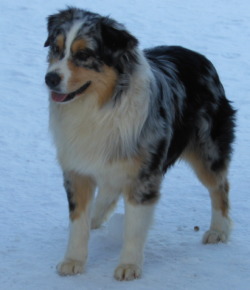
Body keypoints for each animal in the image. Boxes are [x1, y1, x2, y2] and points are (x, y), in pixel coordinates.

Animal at [44, 7, 236, 280]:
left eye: (84, 55)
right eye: (56, 48)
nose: (50, 78)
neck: (99, 108)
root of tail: (199, 57)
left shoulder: (143, 176)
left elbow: (134, 228)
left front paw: (129, 266)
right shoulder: (77, 169)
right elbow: (78, 223)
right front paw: (73, 260)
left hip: (207, 149)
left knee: (219, 186)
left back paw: (219, 230)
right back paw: (96, 216)